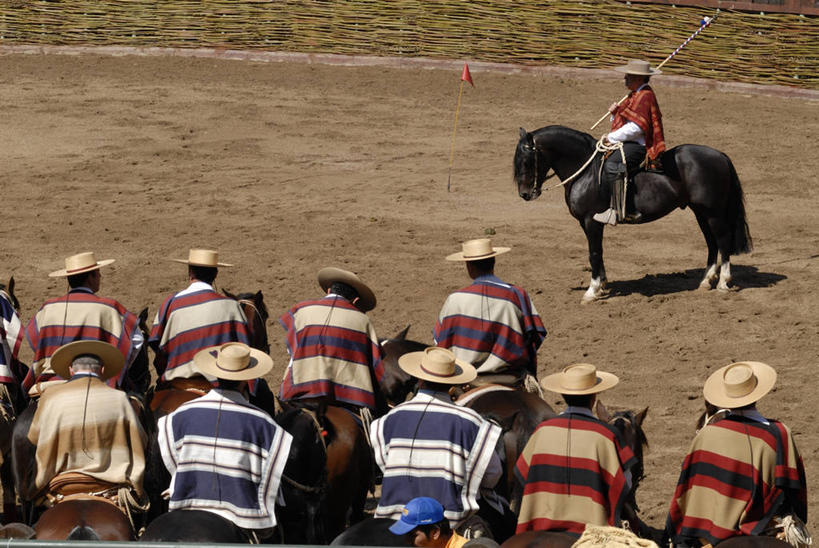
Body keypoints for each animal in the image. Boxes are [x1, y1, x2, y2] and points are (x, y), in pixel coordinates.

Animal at [516, 126, 752, 302]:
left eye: (526, 161)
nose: (525, 194)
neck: (587, 171)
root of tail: (720, 156)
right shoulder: (587, 223)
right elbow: (598, 252)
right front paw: (602, 285)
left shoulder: (591, 221)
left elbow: (594, 253)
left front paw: (592, 291)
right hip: (701, 213)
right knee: (712, 243)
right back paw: (705, 281)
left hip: (713, 214)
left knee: (723, 240)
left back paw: (723, 282)